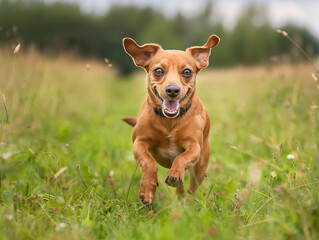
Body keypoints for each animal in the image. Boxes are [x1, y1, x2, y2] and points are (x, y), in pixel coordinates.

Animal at [122, 35, 220, 204]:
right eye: (158, 71)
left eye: (187, 72)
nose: (173, 90)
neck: (169, 122)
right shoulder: (139, 142)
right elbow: (149, 163)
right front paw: (147, 189)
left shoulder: (194, 146)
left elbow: (181, 157)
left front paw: (174, 174)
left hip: (200, 168)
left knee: (191, 188)